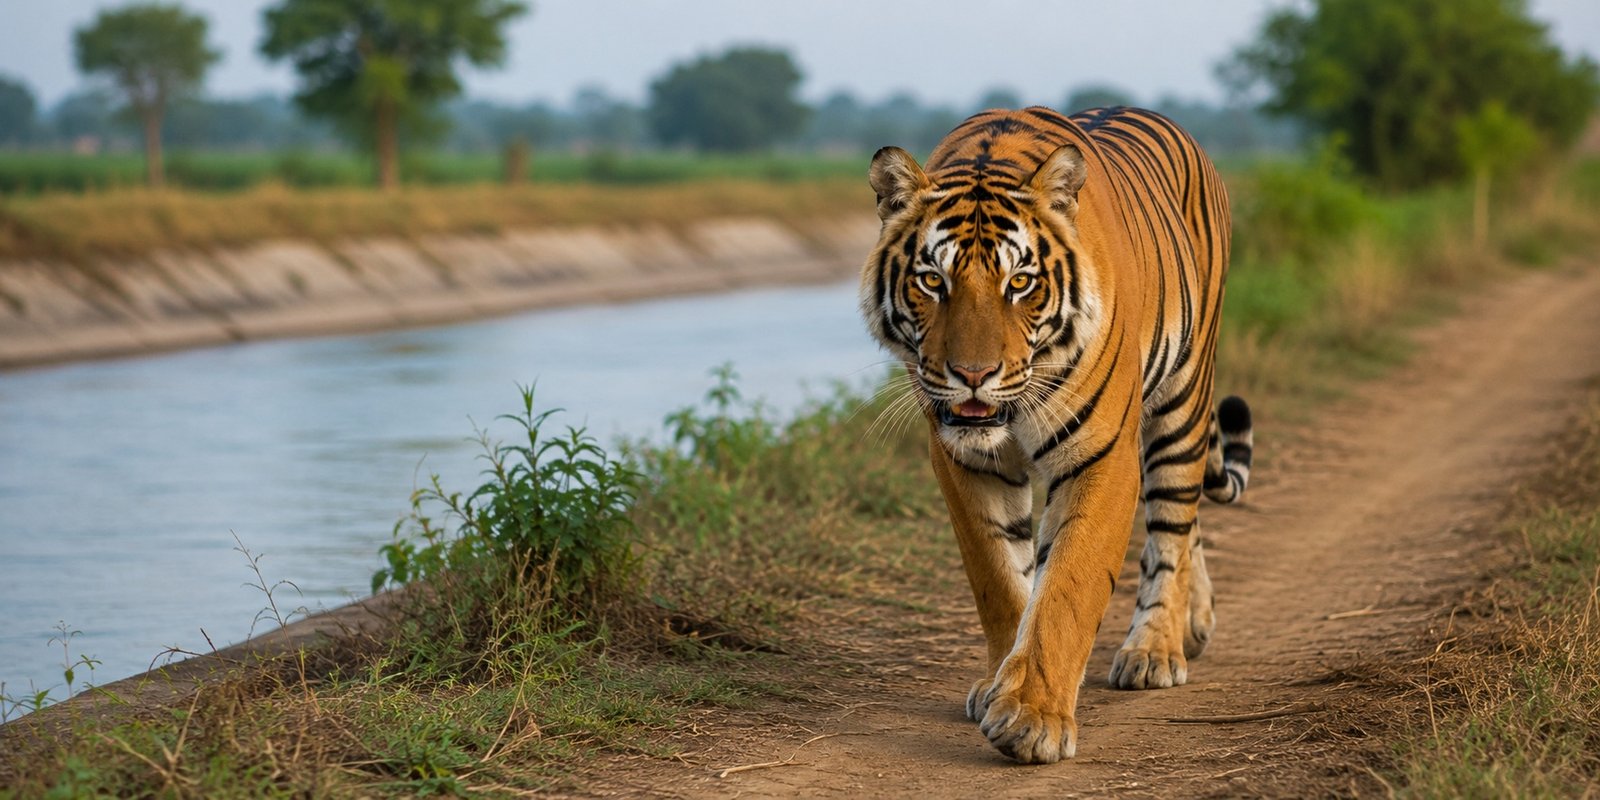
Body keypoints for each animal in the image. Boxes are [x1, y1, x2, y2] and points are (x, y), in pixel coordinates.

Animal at [860, 105, 1253, 764]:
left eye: (1019, 282)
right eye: (932, 281)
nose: (973, 375)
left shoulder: (1102, 455)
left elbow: (1066, 587)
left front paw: (1032, 717)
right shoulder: (965, 463)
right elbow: (1000, 578)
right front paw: (1000, 684)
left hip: (1183, 397)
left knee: (1174, 523)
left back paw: (1155, 650)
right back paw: (1195, 624)